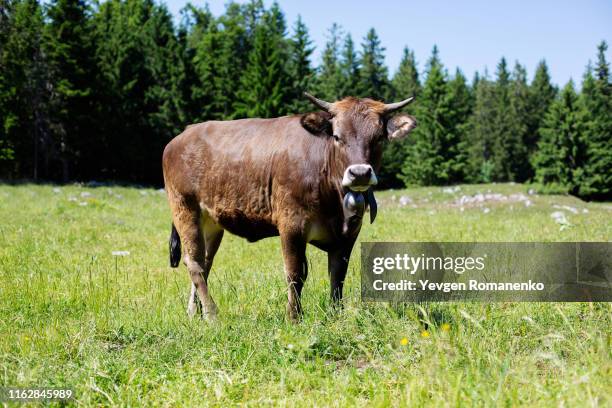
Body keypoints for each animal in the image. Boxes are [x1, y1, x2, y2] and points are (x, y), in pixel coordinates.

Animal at [163, 93, 416, 322]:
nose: (360, 173)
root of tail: (183, 135)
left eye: (379, 138)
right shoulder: (292, 224)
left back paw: (194, 313)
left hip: (211, 221)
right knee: (194, 263)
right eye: (337, 136)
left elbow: (338, 275)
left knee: (205, 263)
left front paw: (337, 315)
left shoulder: (349, 234)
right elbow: (296, 273)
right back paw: (212, 314)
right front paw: (294, 317)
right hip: (184, 207)